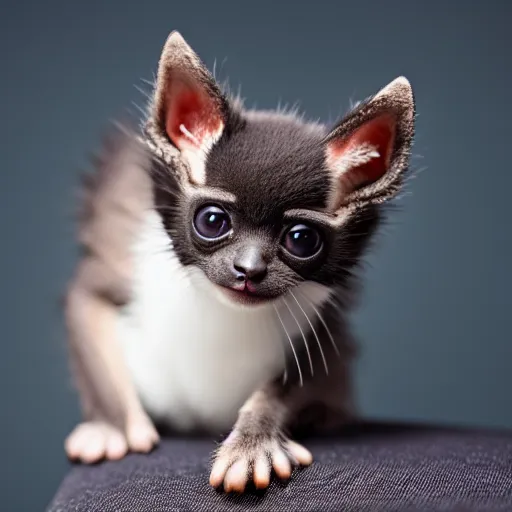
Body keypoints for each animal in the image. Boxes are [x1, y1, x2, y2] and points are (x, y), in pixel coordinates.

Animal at [64, 31, 416, 492]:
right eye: (213, 221)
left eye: (301, 240)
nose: (249, 270)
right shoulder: (118, 259)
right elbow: (87, 311)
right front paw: (111, 426)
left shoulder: (326, 330)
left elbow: (291, 382)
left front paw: (253, 443)